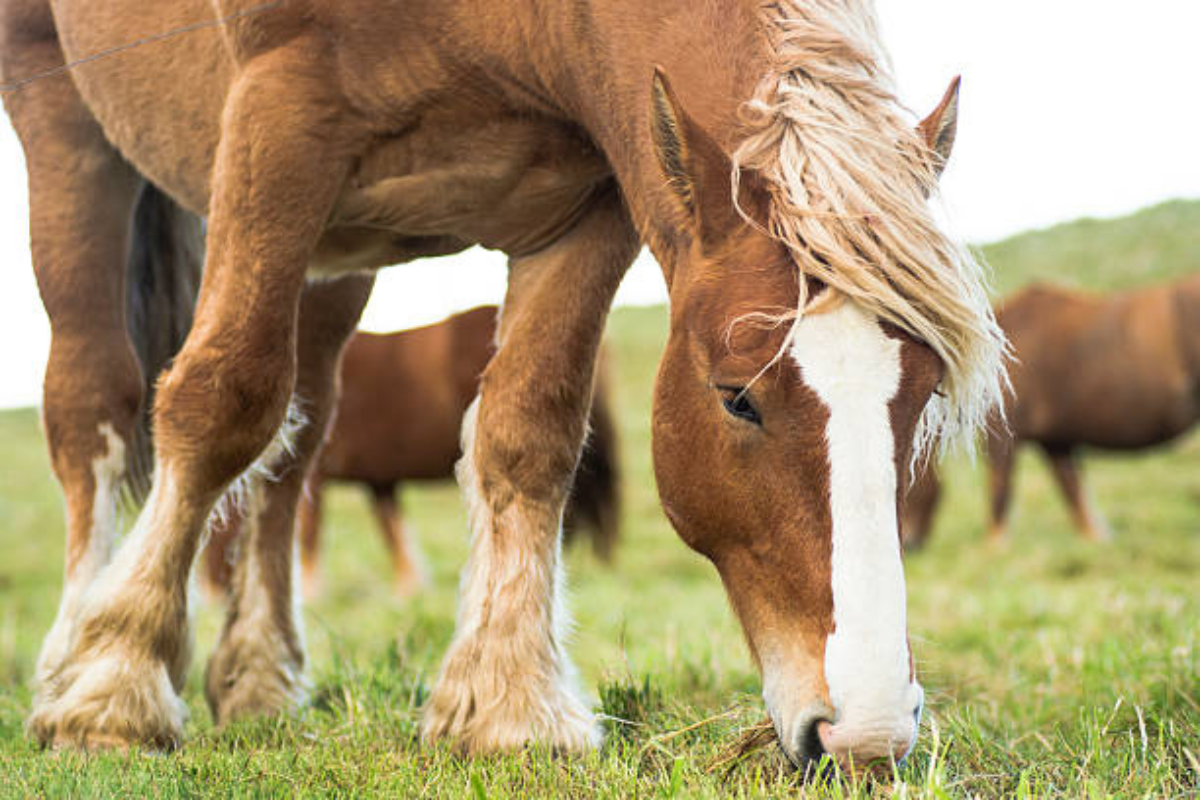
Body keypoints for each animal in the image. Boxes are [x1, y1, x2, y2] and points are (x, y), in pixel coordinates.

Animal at [202, 307, 624, 599]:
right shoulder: (379, 479)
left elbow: (309, 535)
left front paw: (311, 593)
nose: (211, 597)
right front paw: (410, 590)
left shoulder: (314, 475)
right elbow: (395, 532)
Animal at [902, 277, 1195, 551]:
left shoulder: (1002, 437)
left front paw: (994, 548)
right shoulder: (1056, 444)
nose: (908, 543)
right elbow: (1076, 496)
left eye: (907, 482)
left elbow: (1000, 491)